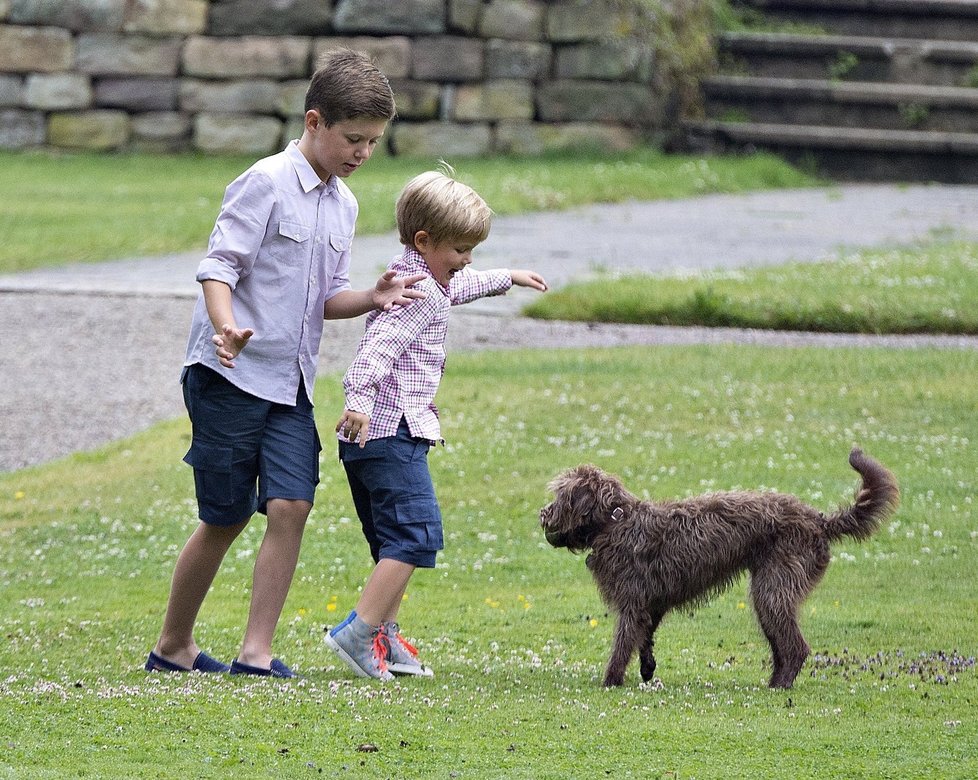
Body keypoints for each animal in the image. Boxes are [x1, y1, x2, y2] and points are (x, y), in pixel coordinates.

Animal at [540, 448, 900, 684]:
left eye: (561, 496)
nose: (543, 513)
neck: (615, 521)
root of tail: (819, 521)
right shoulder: (650, 605)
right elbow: (645, 639)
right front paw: (647, 670)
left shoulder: (632, 603)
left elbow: (623, 644)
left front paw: (611, 680)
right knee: (783, 646)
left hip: (772, 590)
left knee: (796, 648)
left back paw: (779, 686)